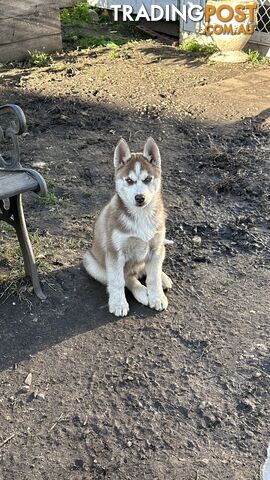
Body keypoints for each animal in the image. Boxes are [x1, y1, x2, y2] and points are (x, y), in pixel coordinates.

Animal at [83, 135, 173, 316]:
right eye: (129, 180)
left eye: (147, 179)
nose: (140, 198)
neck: (141, 216)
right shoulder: (115, 253)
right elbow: (118, 281)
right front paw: (118, 303)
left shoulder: (156, 247)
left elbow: (153, 278)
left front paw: (157, 297)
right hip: (91, 262)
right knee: (127, 278)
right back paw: (141, 292)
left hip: (160, 249)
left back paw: (163, 278)